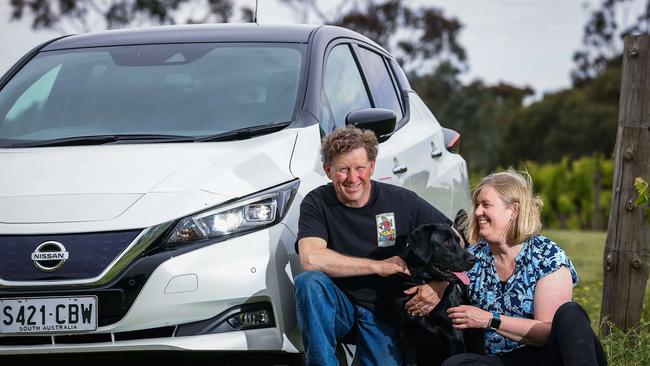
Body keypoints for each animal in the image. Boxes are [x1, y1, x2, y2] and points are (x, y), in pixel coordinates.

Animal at [392, 222, 484, 364]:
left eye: (458, 241)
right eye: (445, 242)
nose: (473, 259)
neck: (422, 282)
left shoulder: (454, 334)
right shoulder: (406, 335)